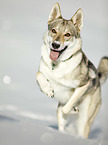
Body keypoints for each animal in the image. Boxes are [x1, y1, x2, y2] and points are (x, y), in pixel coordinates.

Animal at [36, 2, 108, 138]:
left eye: (67, 35)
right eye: (54, 30)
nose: (55, 45)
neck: (57, 64)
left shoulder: (84, 84)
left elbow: (67, 107)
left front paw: (73, 109)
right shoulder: (43, 74)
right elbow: (39, 75)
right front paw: (48, 89)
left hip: (84, 122)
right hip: (59, 116)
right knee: (61, 125)